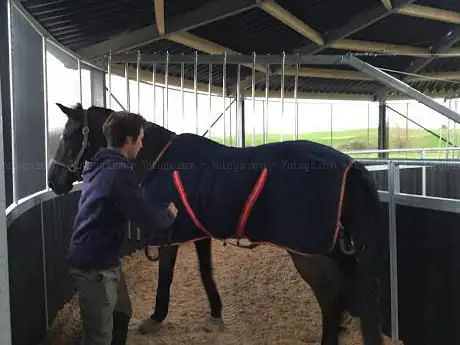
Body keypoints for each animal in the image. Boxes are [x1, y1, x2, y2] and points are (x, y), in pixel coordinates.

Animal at [47, 102, 384, 344]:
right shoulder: (198, 232)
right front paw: (215, 315)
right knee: (346, 294)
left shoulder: (170, 234)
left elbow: (166, 276)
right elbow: (206, 271)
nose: (54, 181)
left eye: (69, 135)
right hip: (334, 248)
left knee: (329, 298)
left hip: (307, 252)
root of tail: (350, 164)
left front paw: (156, 318)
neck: (157, 158)